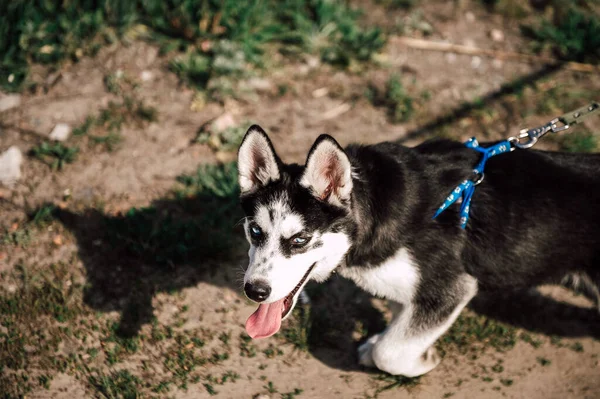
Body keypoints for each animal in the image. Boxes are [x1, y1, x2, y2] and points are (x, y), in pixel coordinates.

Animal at [239, 125, 600, 378]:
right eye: (255, 231)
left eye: (299, 239)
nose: (255, 291)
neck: (372, 210)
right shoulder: (407, 287)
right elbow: (398, 326)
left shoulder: (449, 289)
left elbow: (391, 352)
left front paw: (420, 360)